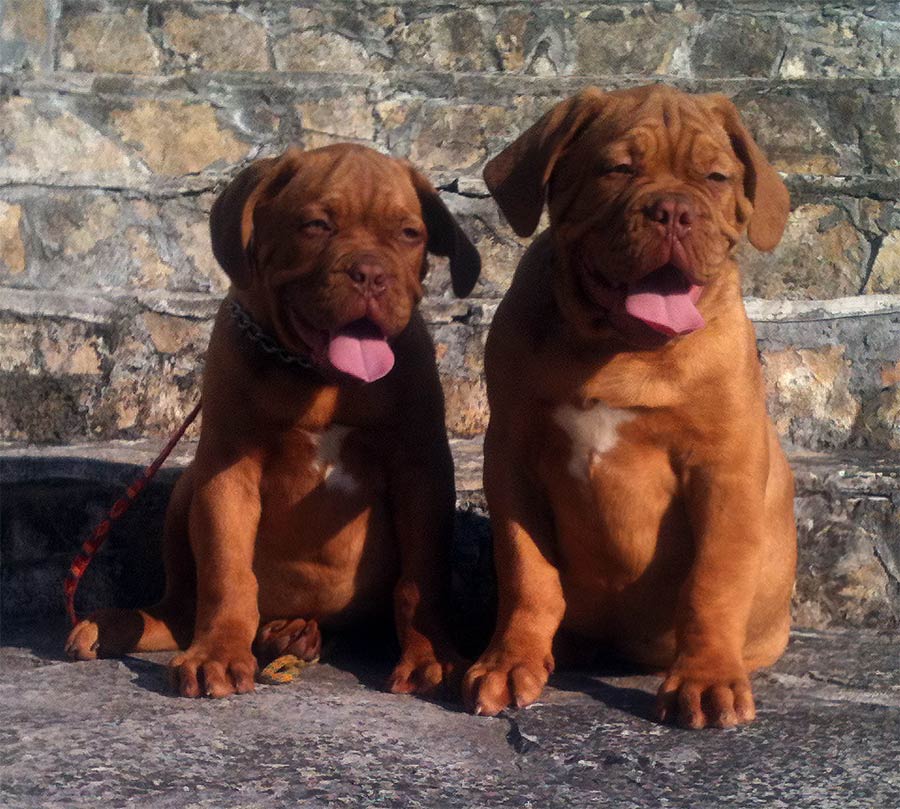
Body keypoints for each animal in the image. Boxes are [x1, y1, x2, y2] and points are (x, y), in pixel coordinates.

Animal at [66, 143, 481, 699]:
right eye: (316, 225)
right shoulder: (226, 473)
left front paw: (431, 656)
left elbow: (420, 577)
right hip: (187, 488)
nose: (372, 274)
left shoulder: (421, 471)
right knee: (181, 611)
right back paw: (122, 625)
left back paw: (292, 634)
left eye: (409, 234)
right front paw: (218, 654)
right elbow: (227, 574)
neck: (318, 377)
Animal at [462, 84, 797, 729]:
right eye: (617, 169)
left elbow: (713, 580)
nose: (674, 210)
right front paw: (510, 663)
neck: (621, 348)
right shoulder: (511, 457)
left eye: (716, 177)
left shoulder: (724, 469)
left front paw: (707, 678)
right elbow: (527, 572)